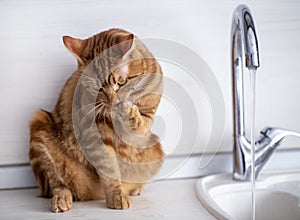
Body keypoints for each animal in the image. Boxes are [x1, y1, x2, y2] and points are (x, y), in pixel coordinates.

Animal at [28, 28, 164, 212]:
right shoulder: (95, 134)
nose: (113, 101)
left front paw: (129, 112)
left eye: (121, 82)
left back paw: (135, 188)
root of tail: (90, 194)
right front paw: (117, 196)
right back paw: (61, 199)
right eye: (97, 88)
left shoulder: (147, 121)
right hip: (40, 124)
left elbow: (139, 124)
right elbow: (109, 169)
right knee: (57, 183)